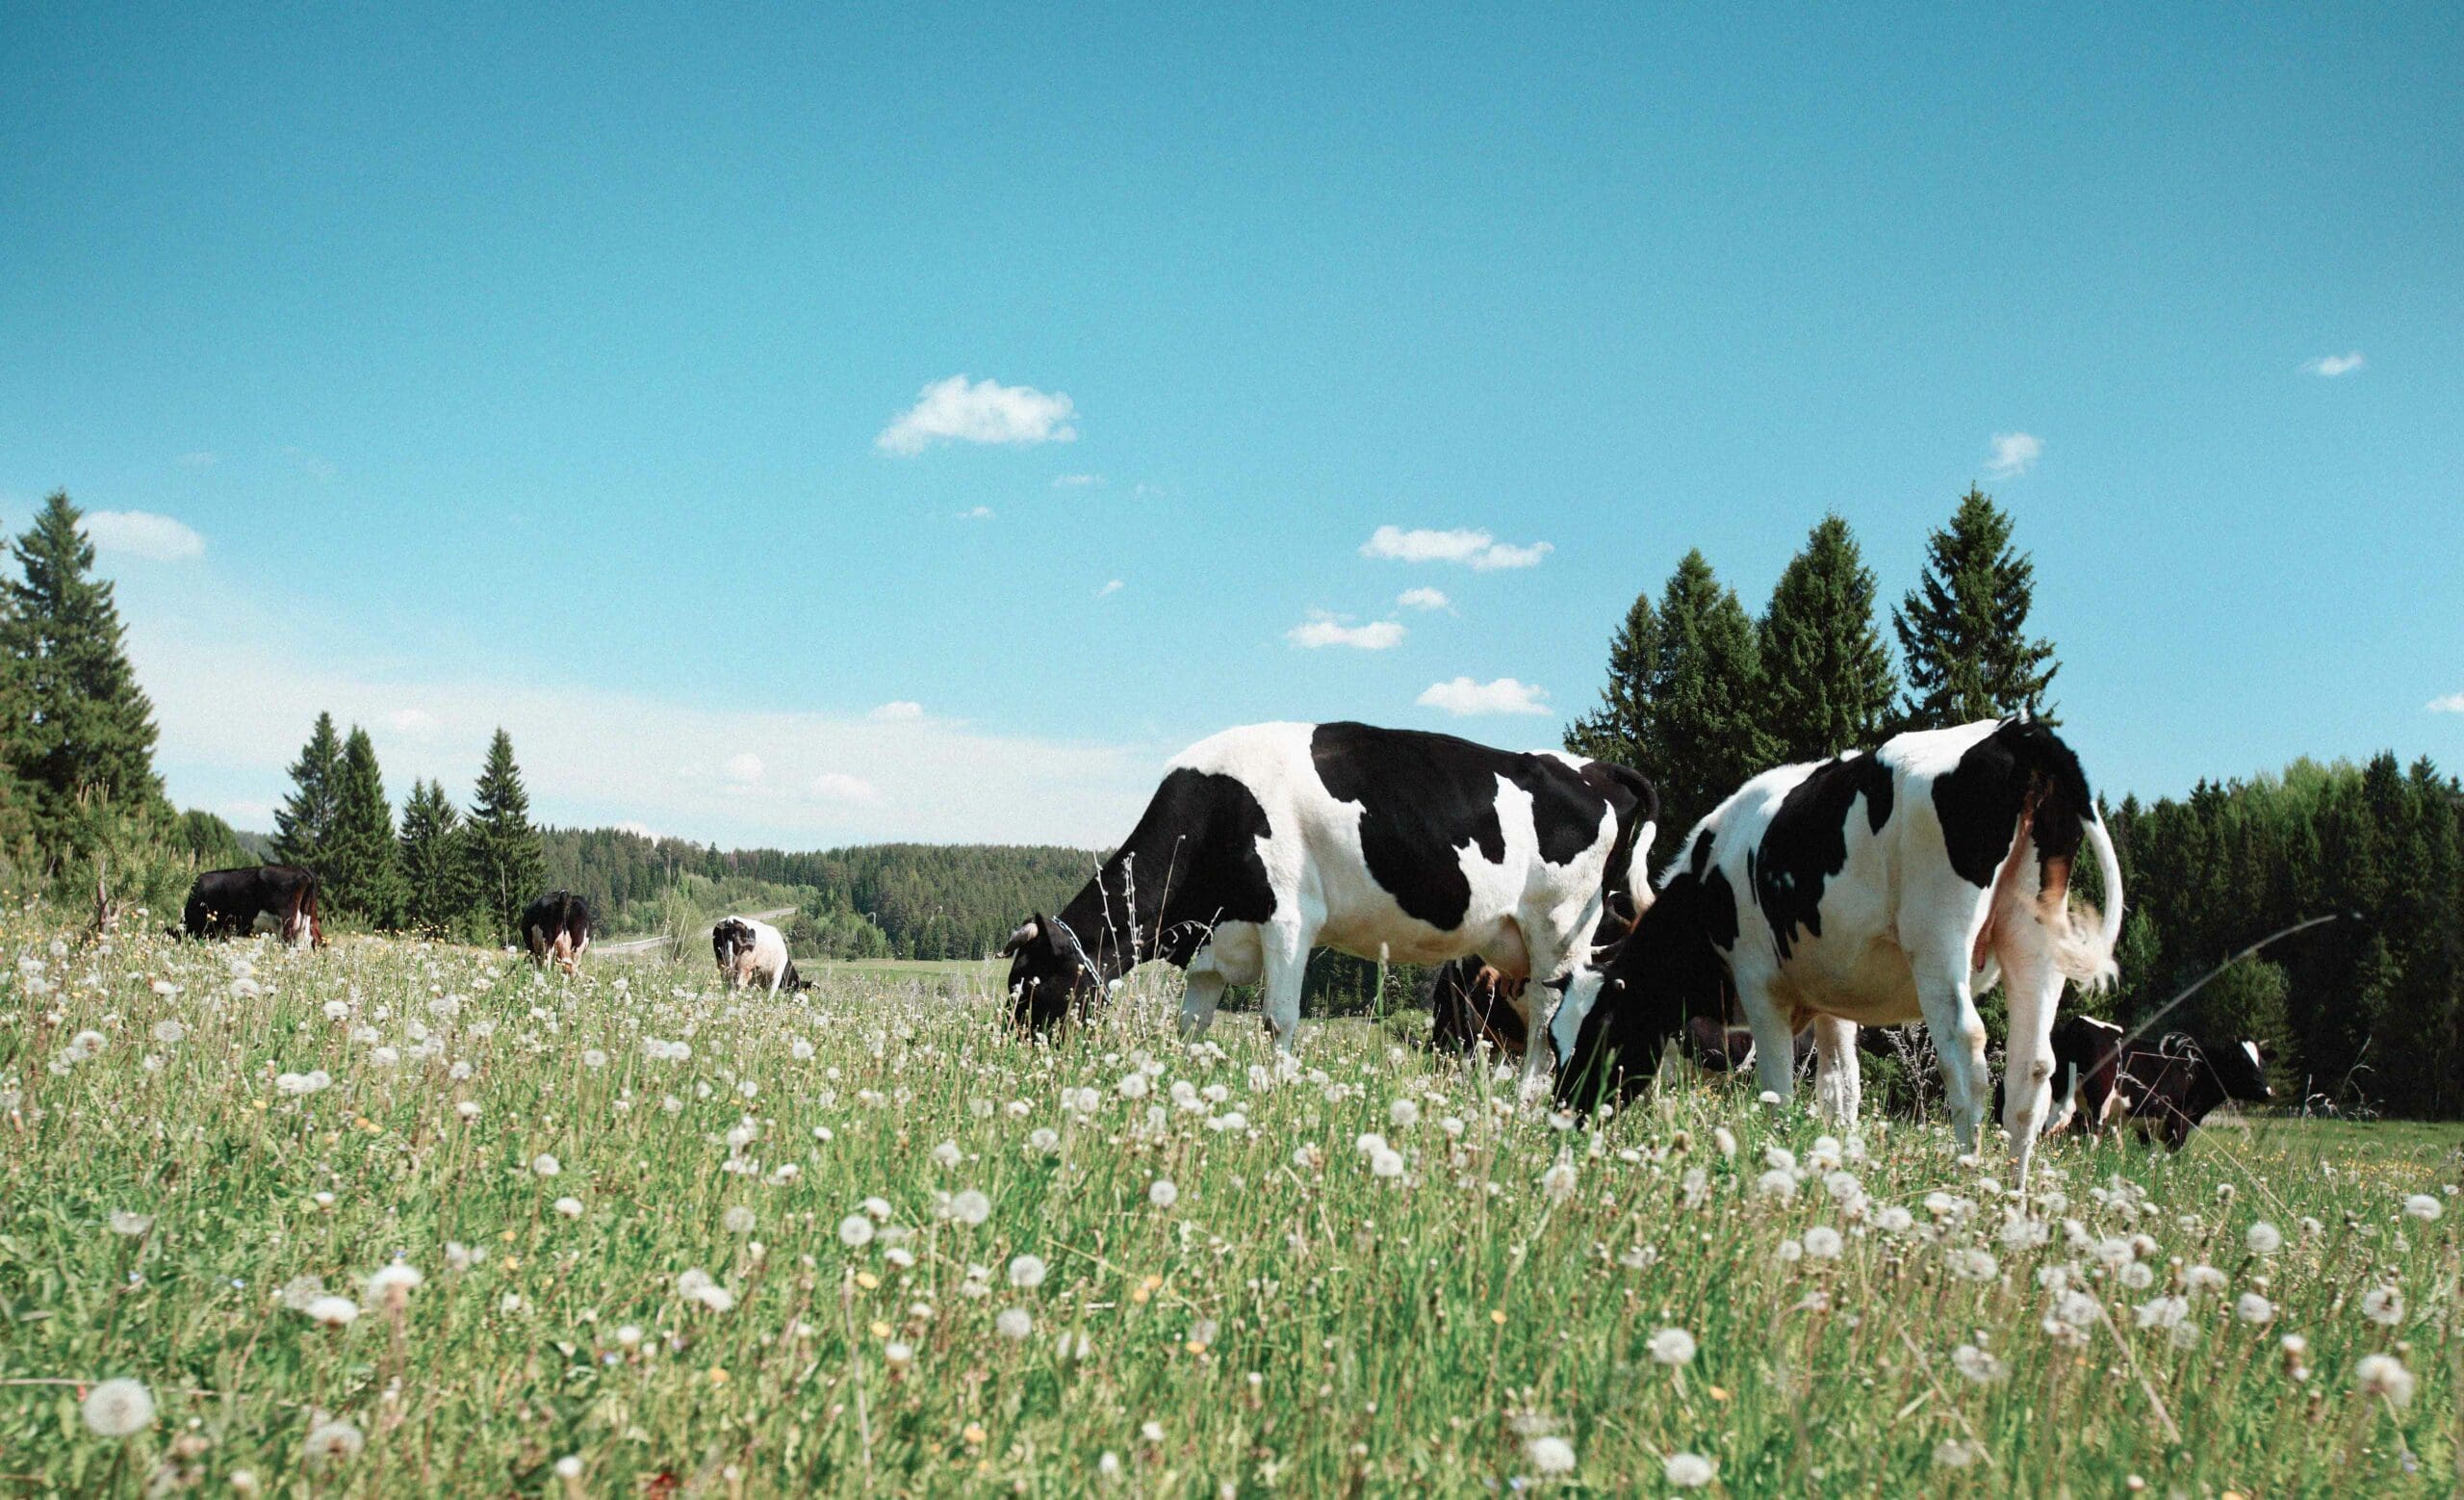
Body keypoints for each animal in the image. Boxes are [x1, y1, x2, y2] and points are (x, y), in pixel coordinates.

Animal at [1000, 719, 1656, 1093]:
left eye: (1028, 987)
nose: (1013, 1055)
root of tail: (1591, 765)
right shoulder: (1214, 946)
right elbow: (1193, 1027)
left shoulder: (1288, 920)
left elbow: (1278, 1019)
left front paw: (1276, 1092)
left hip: (1559, 928)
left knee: (1548, 1018)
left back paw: (1525, 1102)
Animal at [1556, 719, 2118, 1187]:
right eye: (1552, 1036)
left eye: (1599, 1031)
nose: (1563, 1116)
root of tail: (2012, 732)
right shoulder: (1832, 1000)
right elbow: (1841, 1088)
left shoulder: (1761, 986)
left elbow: (1779, 1090)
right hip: (2035, 942)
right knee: (2032, 1072)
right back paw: (2011, 1199)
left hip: (1938, 941)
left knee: (1966, 1054)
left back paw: (1964, 1185)